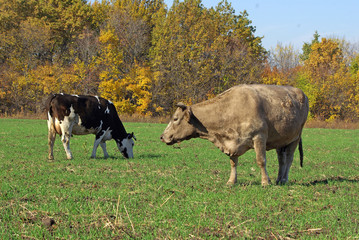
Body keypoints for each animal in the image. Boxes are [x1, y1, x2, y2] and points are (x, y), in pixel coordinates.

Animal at [160, 84, 310, 186]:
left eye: (175, 119)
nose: (162, 136)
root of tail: (301, 92)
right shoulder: (232, 143)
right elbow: (233, 162)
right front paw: (231, 181)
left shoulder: (259, 137)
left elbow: (261, 160)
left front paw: (265, 182)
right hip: (281, 140)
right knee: (282, 159)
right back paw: (279, 179)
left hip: (295, 137)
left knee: (289, 159)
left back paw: (284, 179)